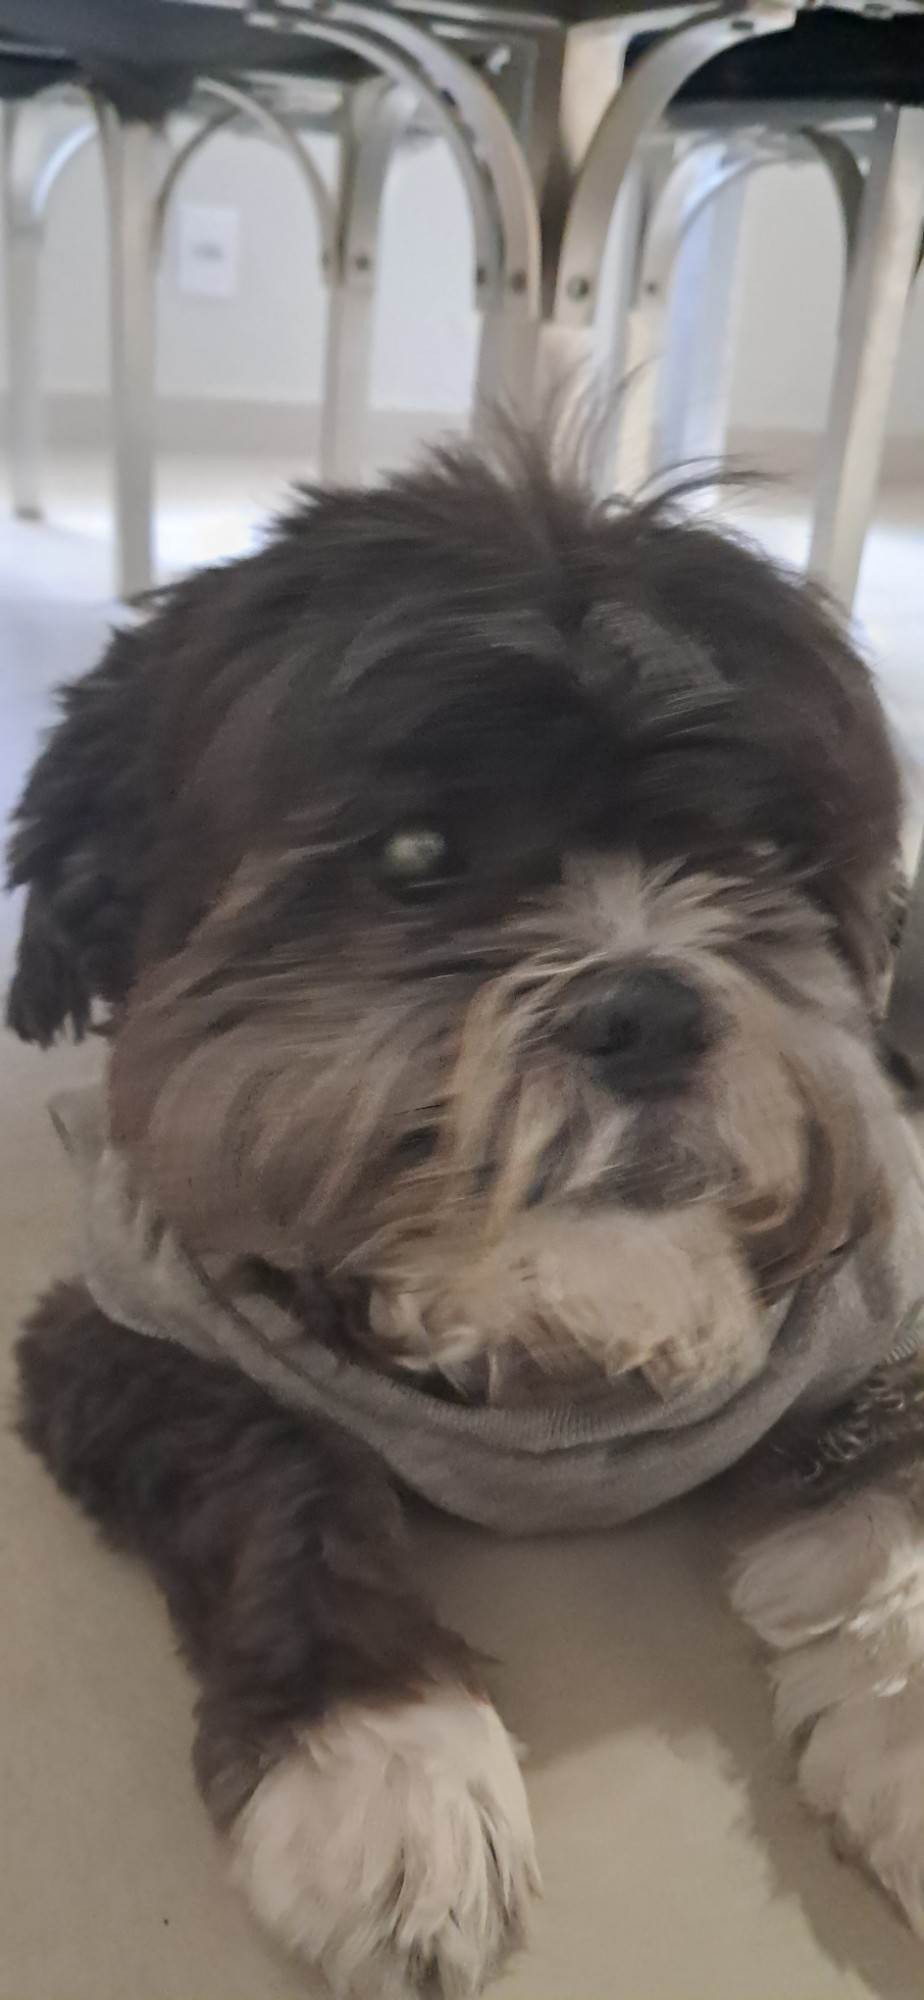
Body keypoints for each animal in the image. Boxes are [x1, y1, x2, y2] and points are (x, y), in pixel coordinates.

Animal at [9, 436, 924, 1998]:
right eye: (415, 853)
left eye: (759, 851)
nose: (650, 1006)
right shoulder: (123, 1331)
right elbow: (282, 1479)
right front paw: (387, 1761)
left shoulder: (888, 1317)